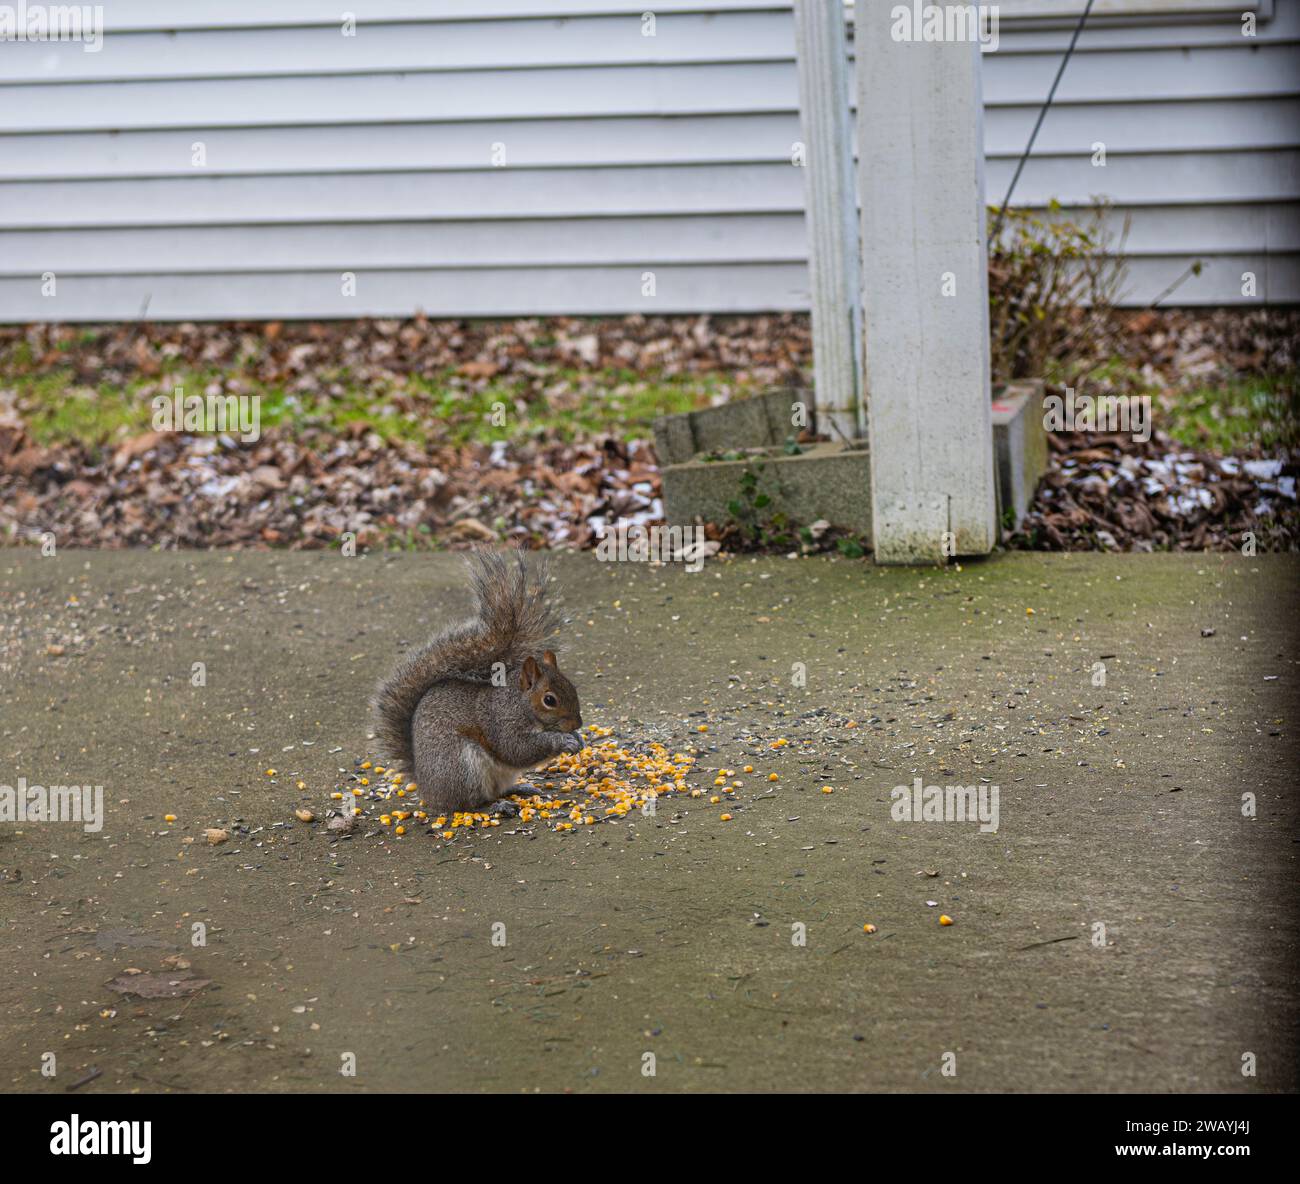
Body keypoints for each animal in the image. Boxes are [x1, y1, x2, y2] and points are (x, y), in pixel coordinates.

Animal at [371, 553, 585, 816]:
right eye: (549, 700)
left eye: (572, 687)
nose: (578, 723)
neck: (519, 703)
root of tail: (427, 789)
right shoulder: (500, 723)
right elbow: (517, 749)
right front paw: (563, 740)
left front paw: (578, 737)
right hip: (462, 768)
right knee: (468, 805)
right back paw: (495, 807)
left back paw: (519, 789)